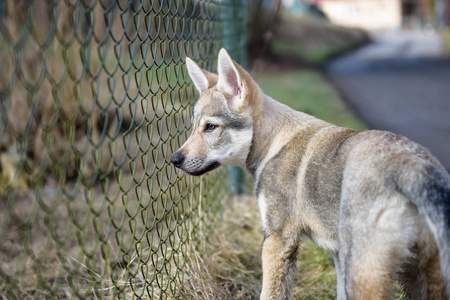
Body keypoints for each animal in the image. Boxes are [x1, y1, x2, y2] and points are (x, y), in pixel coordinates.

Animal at [170, 48, 450, 298]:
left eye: (210, 127)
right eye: (194, 127)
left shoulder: (278, 240)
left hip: (365, 275)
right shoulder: (336, 255)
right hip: (420, 276)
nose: (174, 160)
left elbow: (269, 294)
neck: (273, 143)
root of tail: (416, 167)